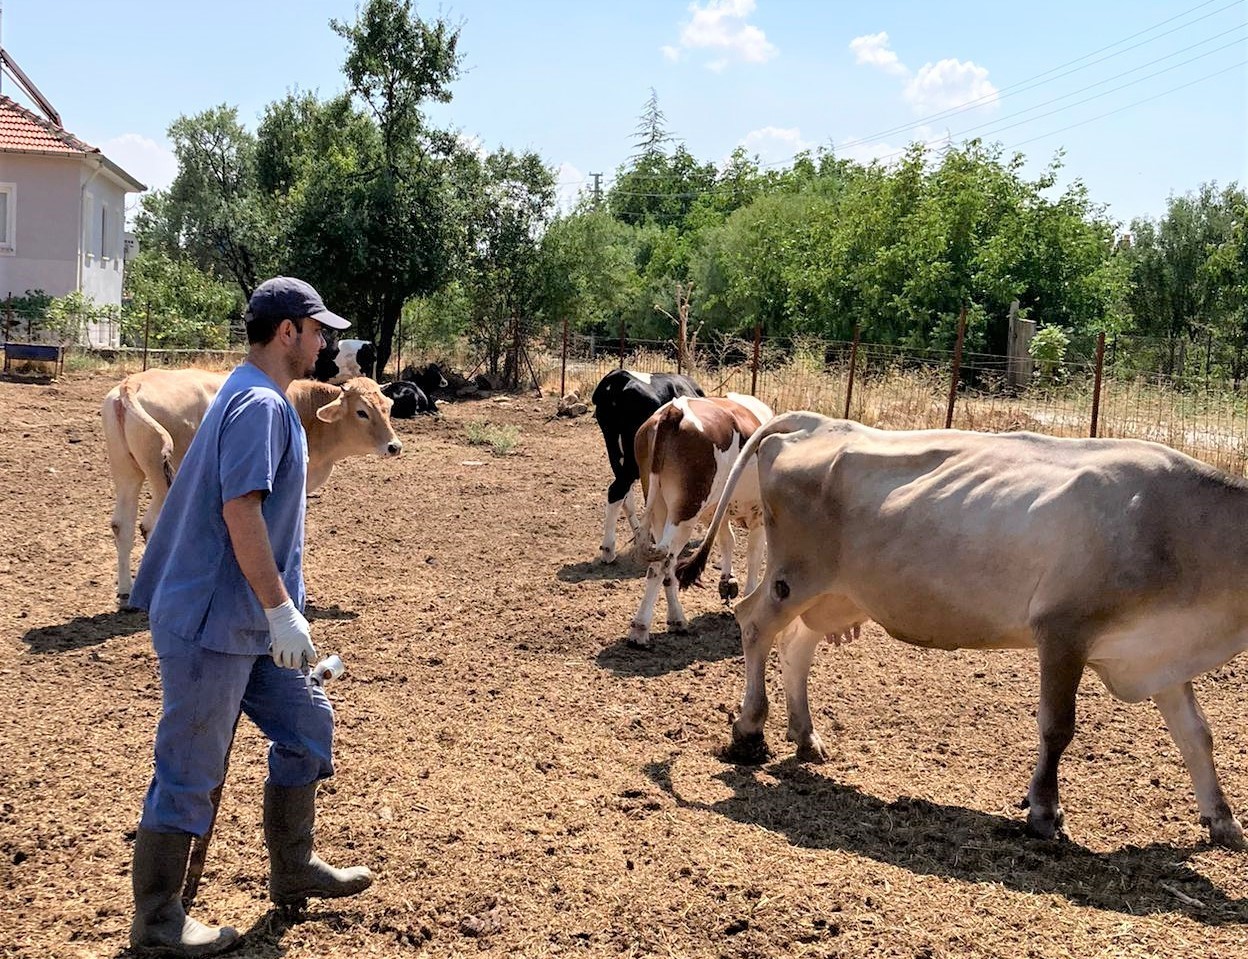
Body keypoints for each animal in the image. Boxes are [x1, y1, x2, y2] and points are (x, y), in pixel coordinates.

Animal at [106, 369, 404, 604]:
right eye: (362, 412)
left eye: (387, 408)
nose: (394, 446)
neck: (308, 410)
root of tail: (132, 383)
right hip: (162, 481)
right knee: (150, 525)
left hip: (127, 474)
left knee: (123, 525)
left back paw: (125, 592)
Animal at [591, 367, 703, 561]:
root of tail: (619, 377)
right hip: (632, 461)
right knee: (617, 491)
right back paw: (608, 550)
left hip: (616, 454)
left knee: (625, 495)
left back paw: (639, 534)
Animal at [628, 394, 773, 649]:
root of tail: (674, 412)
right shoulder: (759, 513)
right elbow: (754, 554)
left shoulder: (716, 511)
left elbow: (727, 540)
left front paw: (728, 580)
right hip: (685, 512)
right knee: (661, 564)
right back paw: (640, 629)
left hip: (660, 508)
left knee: (666, 563)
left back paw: (677, 619)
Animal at [678, 412, 1248, 849]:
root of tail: (818, 421)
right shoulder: (1063, 631)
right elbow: (1057, 727)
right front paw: (1044, 813)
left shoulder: (1161, 652)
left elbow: (1197, 735)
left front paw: (1223, 821)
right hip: (793, 578)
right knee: (754, 622)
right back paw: (750, 730)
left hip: (839, 594)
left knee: (796, 646)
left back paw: (806, 736)